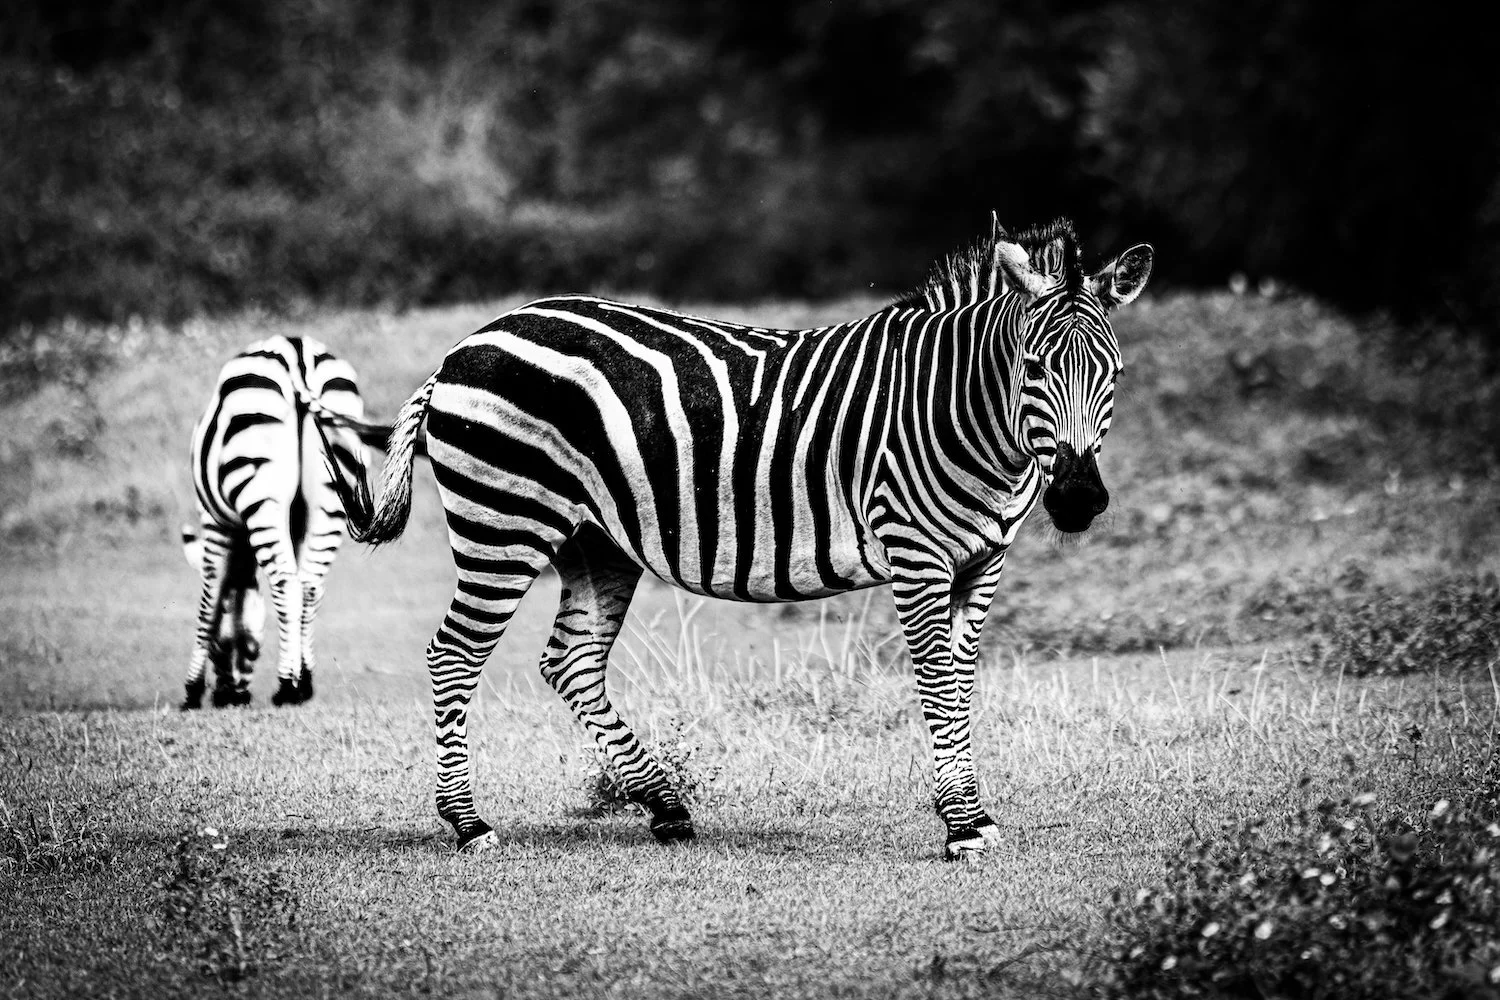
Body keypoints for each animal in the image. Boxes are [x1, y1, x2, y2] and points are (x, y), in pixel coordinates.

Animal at [183, 334, 387, 710]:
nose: (230, 696)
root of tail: (297, 353)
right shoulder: (296, 525)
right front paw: (300, 672)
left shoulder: (214, 521)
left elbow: (210, 601)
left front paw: (191, 690)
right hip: (334, 491)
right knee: (308, 584)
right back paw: (300, 683)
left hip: (258, 483)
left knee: (284, 582)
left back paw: (285, 688)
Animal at [327, 216, 1153, 858]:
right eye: (1034, 368)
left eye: (1112, 373)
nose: (1078, 500)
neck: (967, 414)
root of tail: (463, 347)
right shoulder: (917, 555)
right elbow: (936, 682)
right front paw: (962, 826)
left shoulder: (983, 561)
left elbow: (961, 681)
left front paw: (969, 811)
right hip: (504, 520)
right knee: (453, 654)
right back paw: (468, 823)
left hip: (594, 540)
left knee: (571, 661)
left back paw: (664, 804)